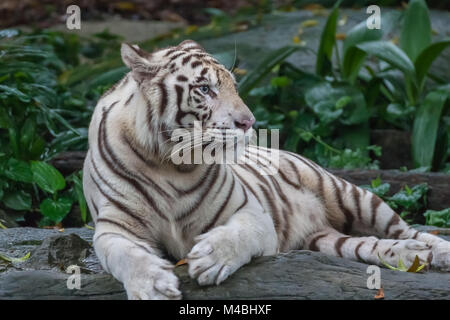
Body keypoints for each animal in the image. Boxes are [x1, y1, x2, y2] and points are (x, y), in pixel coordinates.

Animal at [82, 40, 448, 300]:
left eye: (234, 87)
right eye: (205, 89)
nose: (249, 122)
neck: (170, 163)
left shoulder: (250, 211)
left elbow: (238, 235)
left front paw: (211, 259)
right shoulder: (114, 228)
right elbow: (128, 256)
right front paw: (154, 285)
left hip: (347, 193)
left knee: (408, 230)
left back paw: (435, 252)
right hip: (325, 239)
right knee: (367, 245)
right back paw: (409, 256)